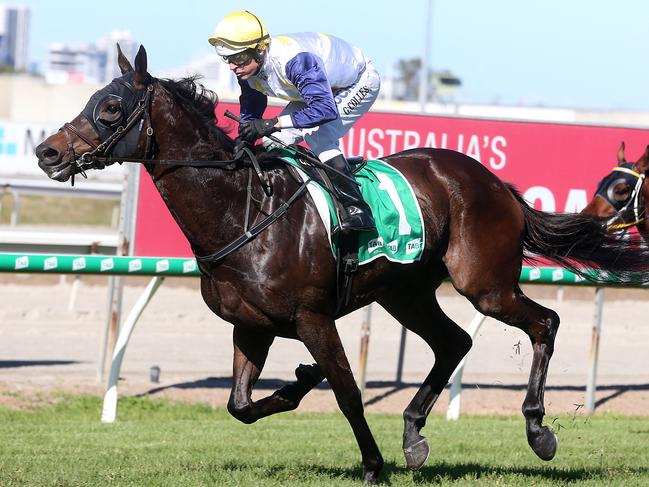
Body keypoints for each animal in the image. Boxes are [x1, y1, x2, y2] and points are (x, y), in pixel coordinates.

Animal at [34, 45, 648, 484]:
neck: (242, 211)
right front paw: (299, 384)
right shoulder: (251, 327)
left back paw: (538, 429)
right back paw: (413, 436)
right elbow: (239, 405)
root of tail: (496, 183)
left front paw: (372, 465)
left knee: (544, 322)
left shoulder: (313, 319)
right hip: (405, 293)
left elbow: (348, 393)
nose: (47, 151)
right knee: (454, 342)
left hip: (484, 284)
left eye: (110, 107)